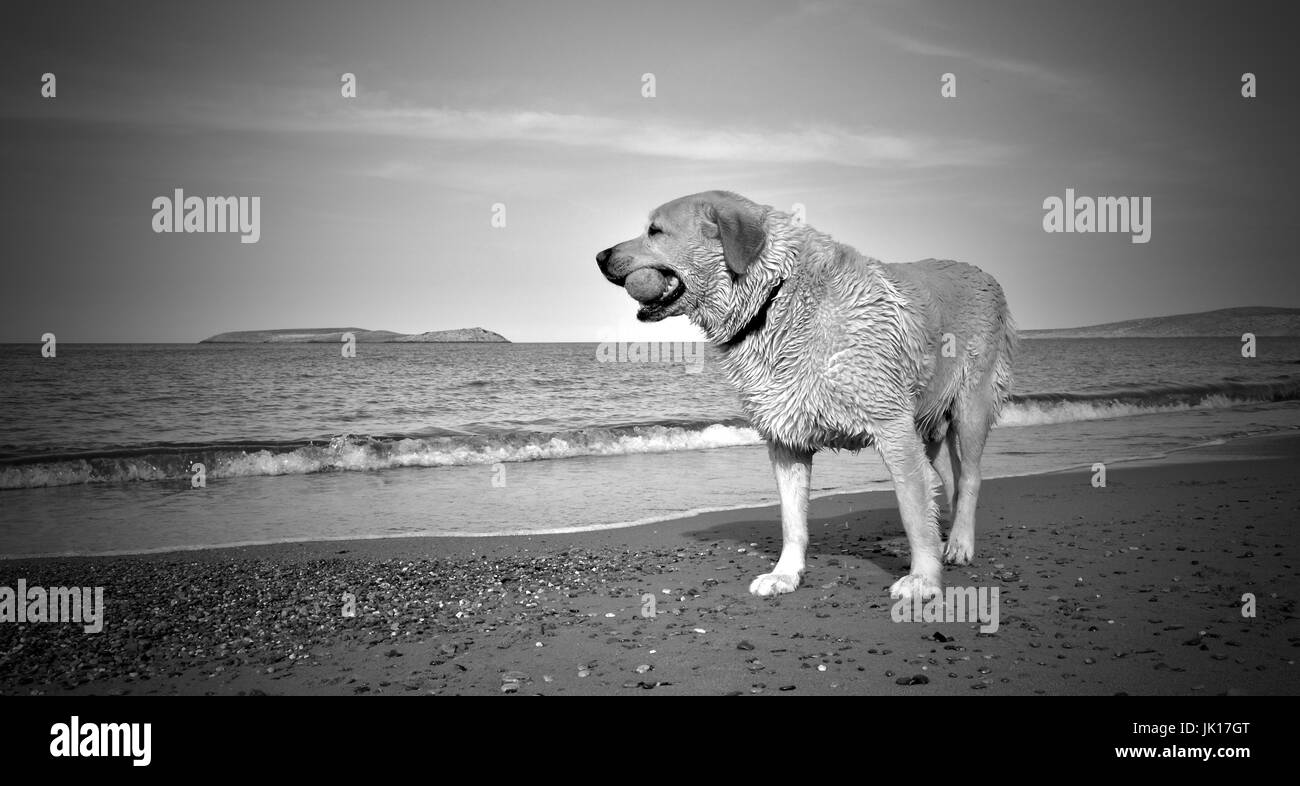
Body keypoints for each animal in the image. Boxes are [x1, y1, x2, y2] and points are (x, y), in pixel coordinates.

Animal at [598, 193, 1013, 597]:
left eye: (655, 231)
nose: (600, 256)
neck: (772, 299)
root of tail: (986, 274)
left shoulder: (893, 426)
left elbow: (913, 511)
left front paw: (923, 579)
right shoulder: (785, 438)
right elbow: (792, 521)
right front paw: (784, 575)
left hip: (970, 406)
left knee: (971, 477)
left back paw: (959, 544)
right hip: (928, 425)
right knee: (949, 477)